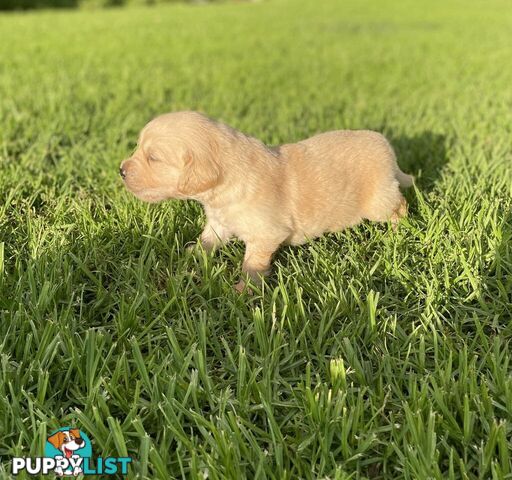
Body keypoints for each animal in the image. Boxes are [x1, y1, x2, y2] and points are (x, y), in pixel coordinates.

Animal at [120, 111, 412, 290]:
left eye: (153, 158)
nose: (121, 170)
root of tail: (386, 145)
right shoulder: (219, 220)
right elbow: (209, 238)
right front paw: (196, 252)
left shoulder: (265, 235)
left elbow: (253, 263)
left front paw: (243, 290)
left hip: (377, 201)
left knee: (401, 206)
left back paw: (397, 231)